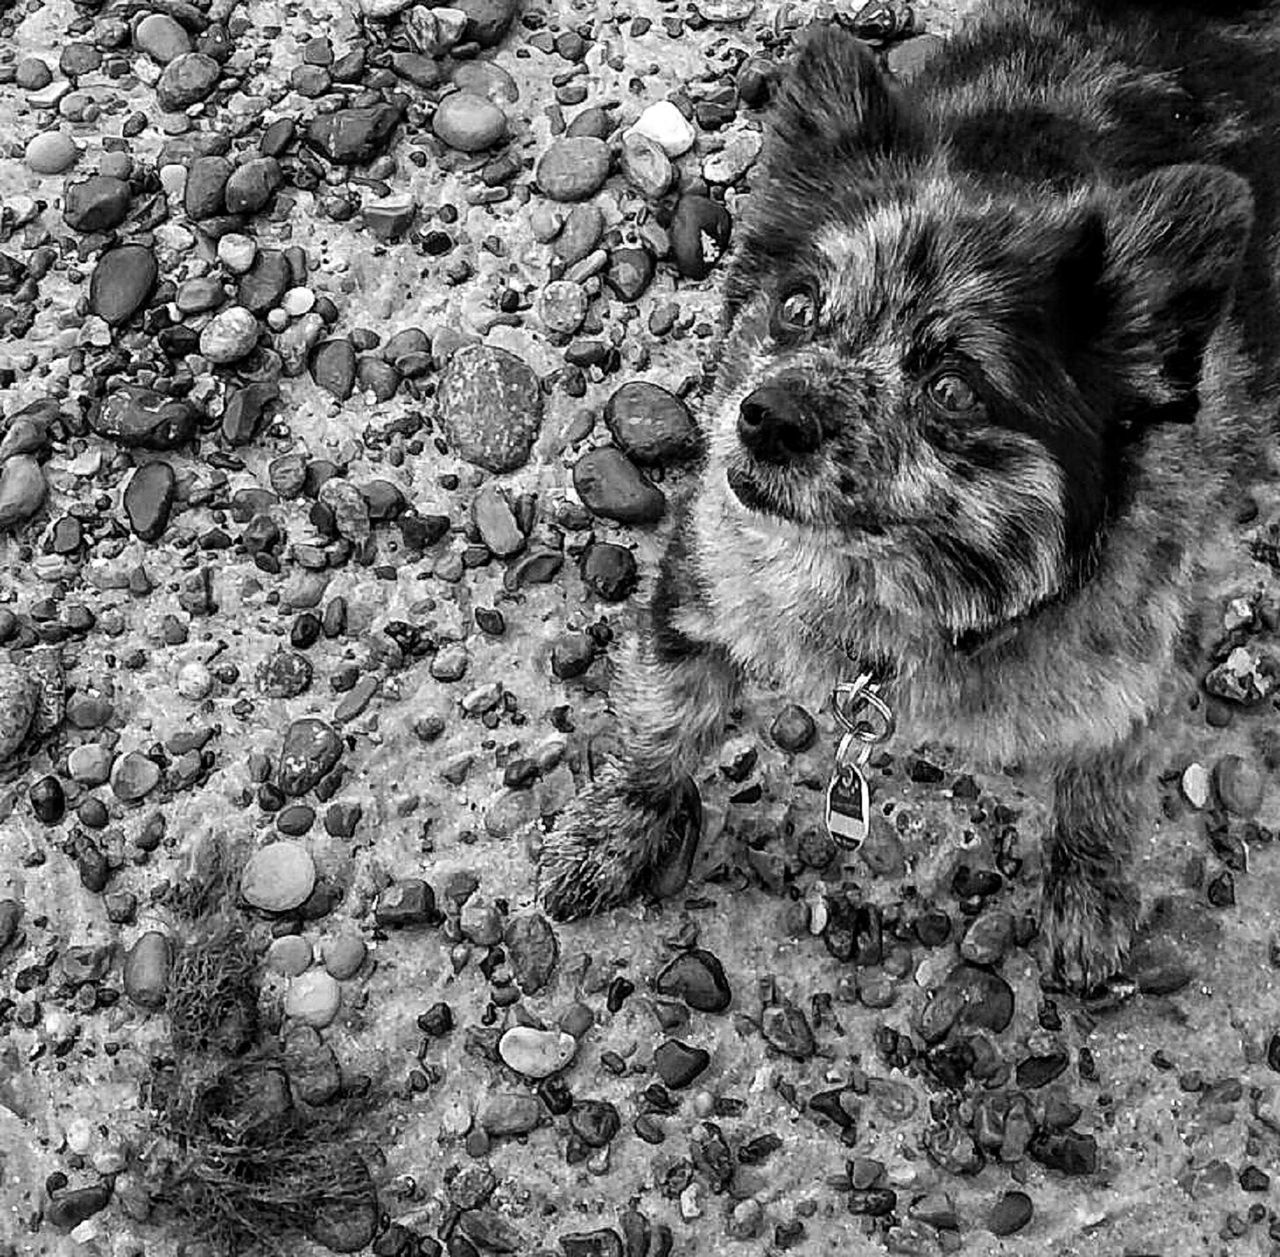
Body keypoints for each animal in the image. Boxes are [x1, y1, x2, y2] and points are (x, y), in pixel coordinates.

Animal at [535, 0, 1274, 998]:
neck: (887, 593)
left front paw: (1089, 896)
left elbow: (1103, 792)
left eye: (952, 388)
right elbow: (663, 723)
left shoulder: (1144, 664)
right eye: (798, 307)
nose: (767, 419)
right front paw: (616, 829)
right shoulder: (706, 581)